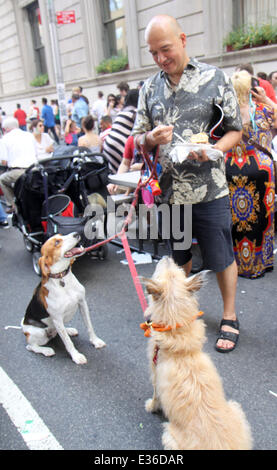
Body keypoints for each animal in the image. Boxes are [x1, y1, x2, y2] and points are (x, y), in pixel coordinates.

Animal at [21, 233, 104, 366]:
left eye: (61, 235)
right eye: (56, 242)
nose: (76, 234)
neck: (62, 279)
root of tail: (23, 326)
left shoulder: (83, 304)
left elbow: (89, 326)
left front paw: (95, 341)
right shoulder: (57, 318)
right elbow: (68, 342)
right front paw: (76, 356)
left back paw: (69, 330)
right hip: (39, 333)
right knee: (31, 346)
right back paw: (46, 350)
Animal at [141, 258, 251, 452]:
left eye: (176, 270)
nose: (167, 257)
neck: (177, 329)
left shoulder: (155, 375)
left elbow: (155, 396)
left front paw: (151, 407)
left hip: (169, 435)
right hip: (236, 409)